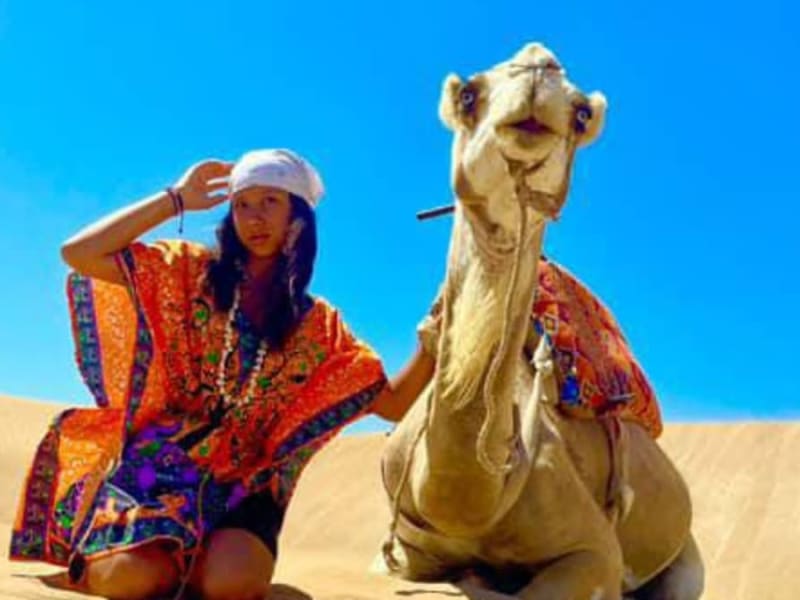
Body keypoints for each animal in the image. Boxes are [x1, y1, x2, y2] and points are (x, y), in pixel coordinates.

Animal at [378, 43, 704, 600]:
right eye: (469, 95)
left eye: (581, 113)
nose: (538, 66)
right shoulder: (402, 553)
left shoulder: (595, 551)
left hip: (687, 556)